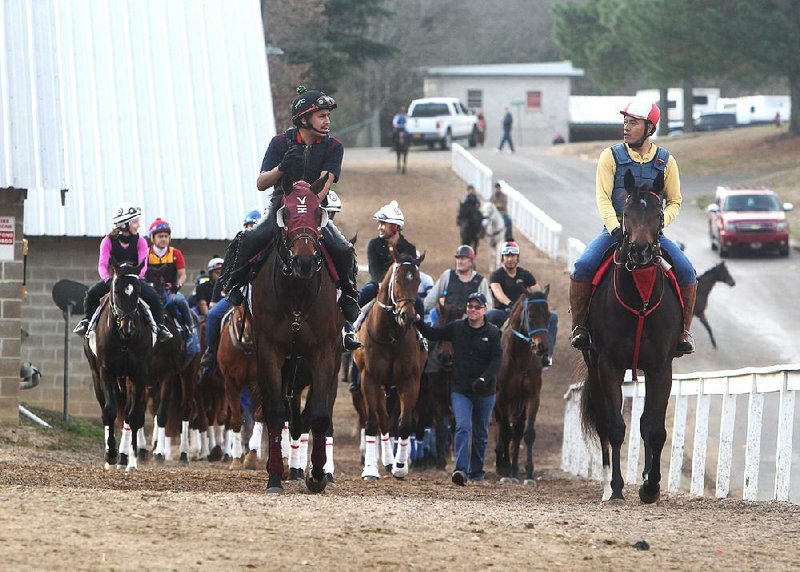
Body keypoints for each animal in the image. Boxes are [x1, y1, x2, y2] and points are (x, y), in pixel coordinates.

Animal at [83, 260, 155, 470]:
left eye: (137, 290)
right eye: (116, 290)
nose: (127, 328)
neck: (124, 340)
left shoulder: (140, 374)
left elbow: (134, 415)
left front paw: (132, 460)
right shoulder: (106, 371)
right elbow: (110, 411)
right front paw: (111, 455)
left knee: (129, 414)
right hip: (97, 374)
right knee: (105, 411)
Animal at [248, 177, 340, 494]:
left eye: (316, 212)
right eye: (286, 213)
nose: (303, 261)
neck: (297, 295)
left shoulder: (324, 353)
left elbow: (320, 414)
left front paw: (317, 475)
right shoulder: (268, 351)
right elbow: (276, 412)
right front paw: (275, 477)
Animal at [494, 288, 552, 484]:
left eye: (548, 316)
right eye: (531, 315)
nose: (542, 347)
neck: (518, 357)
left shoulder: (532, 396)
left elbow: (528, 433)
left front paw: (528, 471)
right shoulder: (501, 396)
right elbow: (505, 431)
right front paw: (505, 468)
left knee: (517, 431)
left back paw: (514, 467)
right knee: (502, 428)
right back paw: (502, 463)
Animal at [580, 171, 684, 504]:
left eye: (658, 214)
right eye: (626, 213)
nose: (640, 251)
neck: (641, 299)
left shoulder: (661, 367)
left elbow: (653, 428)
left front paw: (650, 486)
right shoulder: (609, 365)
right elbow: (615, 427)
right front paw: (615, 489)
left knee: (643, 423)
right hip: (594, 366)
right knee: (603, 422)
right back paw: (605, 487)